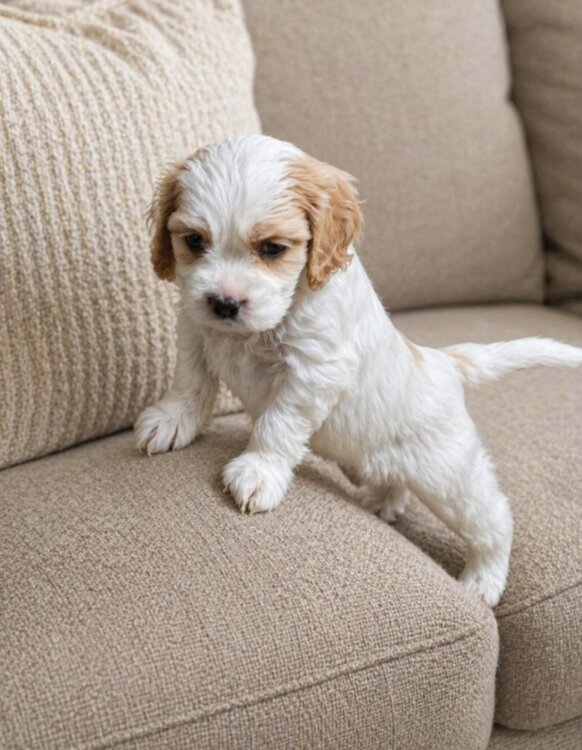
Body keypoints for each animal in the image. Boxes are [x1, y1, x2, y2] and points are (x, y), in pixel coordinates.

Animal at [135, 134, 582, 607]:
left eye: (272, 248)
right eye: (194, 240)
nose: (224, 303)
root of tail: (443, 362)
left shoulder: (316, 368)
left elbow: (278, 424)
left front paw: (258, 472)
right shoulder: (196, 329)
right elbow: (190, 382)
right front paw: (172, 421)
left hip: (446, 474)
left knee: (494, 517)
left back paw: (483, 579)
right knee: (397, 480)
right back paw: (381, 502)